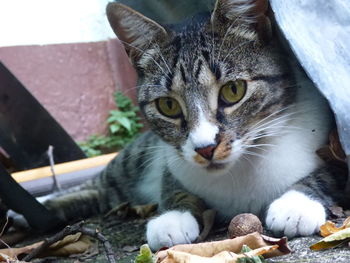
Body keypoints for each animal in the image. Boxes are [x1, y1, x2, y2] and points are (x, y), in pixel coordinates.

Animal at [44, 0, 348, 252]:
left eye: (233, 90)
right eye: (168, 105)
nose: (205, 148)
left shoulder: (336, 144)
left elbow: (325, 173)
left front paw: (296, 203)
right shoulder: (170, 164)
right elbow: (173, 188)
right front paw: (173, 217)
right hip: (132, 160)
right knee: (98, 185)